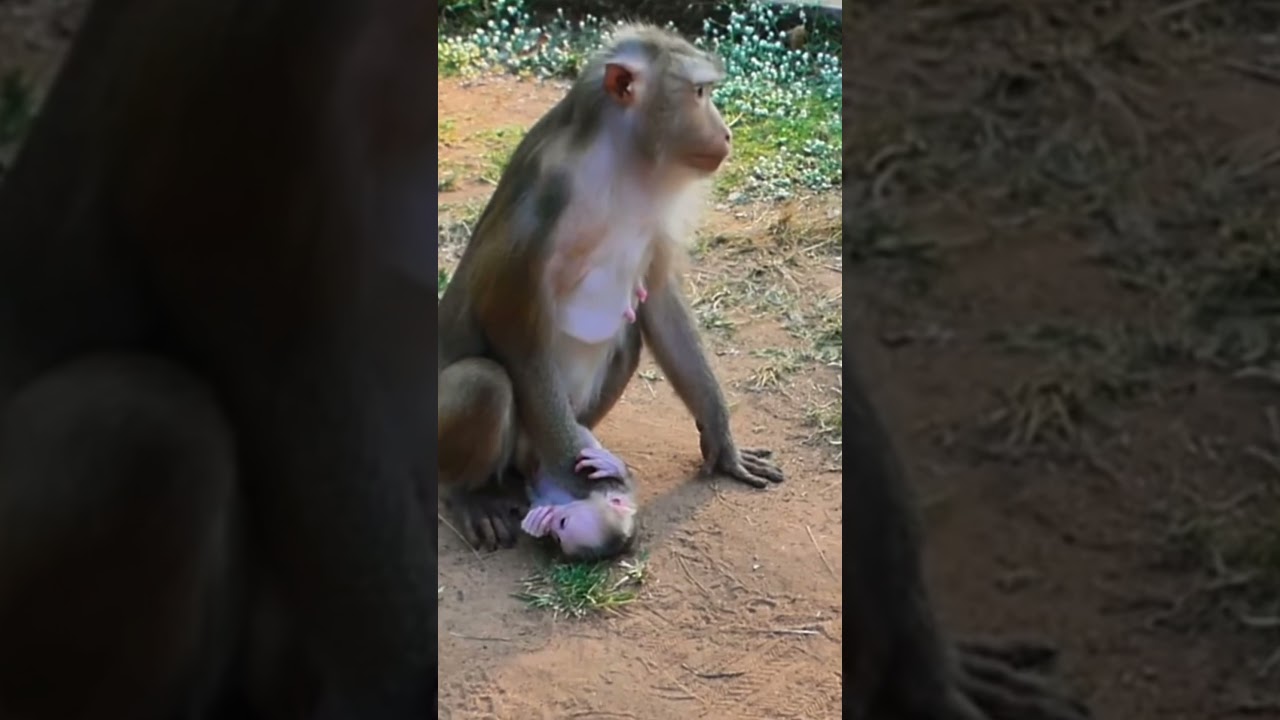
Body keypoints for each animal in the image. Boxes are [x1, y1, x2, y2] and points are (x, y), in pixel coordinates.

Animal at [438, 23, 784, 560]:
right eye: (699, 93)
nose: (726, 132)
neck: (619, 162)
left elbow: (658, 302)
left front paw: (722, 441)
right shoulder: (546, 195)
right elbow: (511, 326)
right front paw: (590, 493)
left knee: (627, 337)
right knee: (484, 382)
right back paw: (468, 493)